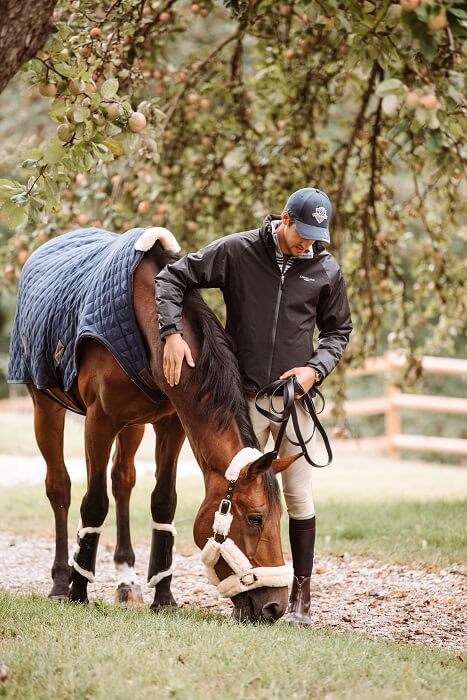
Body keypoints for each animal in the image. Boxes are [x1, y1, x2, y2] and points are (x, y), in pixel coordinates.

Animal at [9, 227, 296, 620]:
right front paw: (78, 590)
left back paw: (126, 579)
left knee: (123, 481)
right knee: (60, 488)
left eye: (281, 515)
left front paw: (163, 595)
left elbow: (163, 501)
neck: (150, 322)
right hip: (46, 407)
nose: (275, 606)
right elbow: (93, 503)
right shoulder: (99, 421)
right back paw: (60, 581)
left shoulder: (171, 424)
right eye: (255, 518)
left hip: (132, 425)